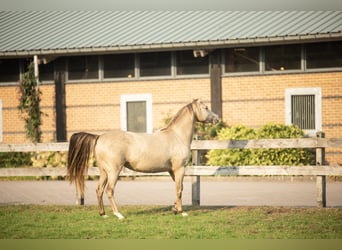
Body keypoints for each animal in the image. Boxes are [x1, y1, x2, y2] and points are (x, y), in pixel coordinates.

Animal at [67, 98, 219, 220]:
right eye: (205, 107)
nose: (217, 119)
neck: (176, 136)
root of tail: (99, 137)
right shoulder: (179, 168)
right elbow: (179, 189)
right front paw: (181, 212)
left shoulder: (172, 170)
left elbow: (178, 187)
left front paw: (175, 209)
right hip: (114, 171)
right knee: (109, 190)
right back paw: (118, 214)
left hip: (104, 172)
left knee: (99, 190)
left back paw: (103, 214)